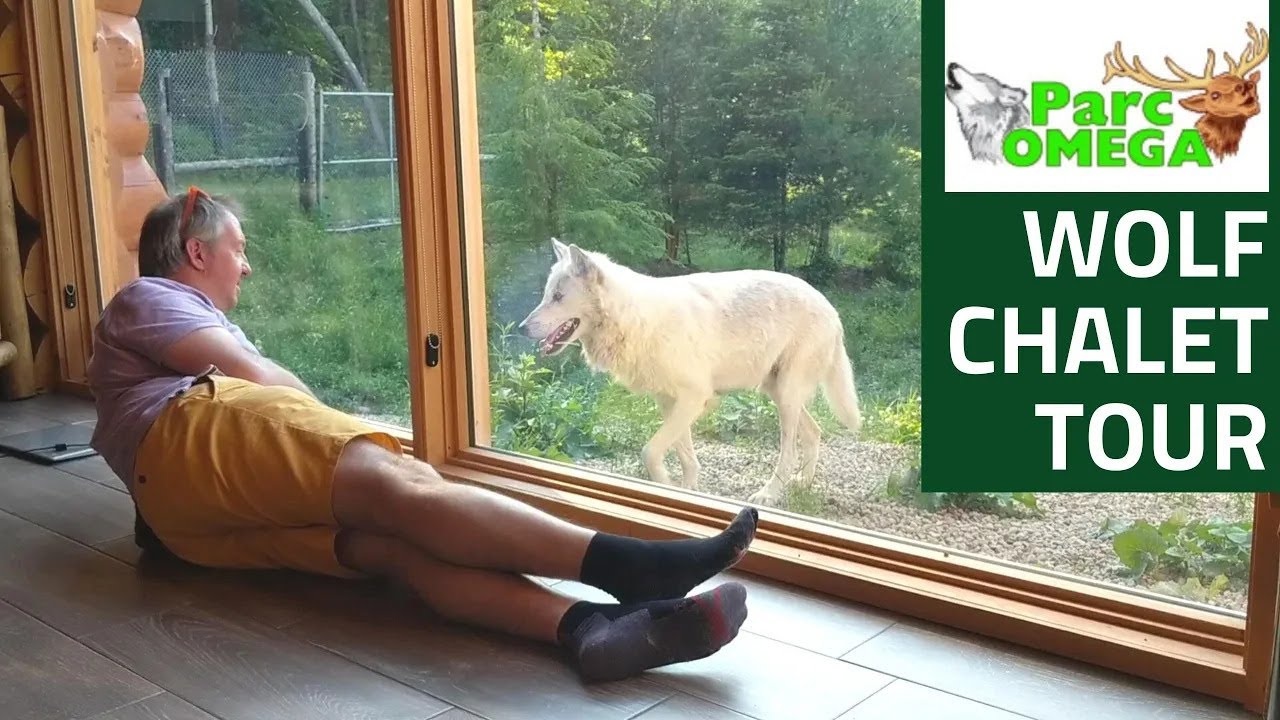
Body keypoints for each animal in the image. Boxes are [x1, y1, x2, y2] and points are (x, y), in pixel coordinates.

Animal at [518, 239, 863, 507]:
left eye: (558, 297)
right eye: (546, 295)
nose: (521, 328)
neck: (634, 319)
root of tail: (831, 308)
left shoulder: (695, 398)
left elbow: (650, 452)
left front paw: (668, 486)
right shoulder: (670, 401)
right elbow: (685, 456)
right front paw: (685, 492)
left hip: (786, 397)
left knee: (789, 450)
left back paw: (769, 494)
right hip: (777, 392)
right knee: (815, 431)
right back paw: (804, 482)